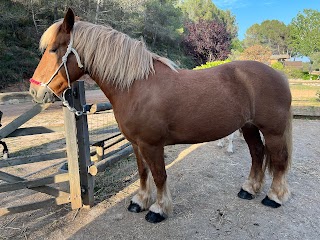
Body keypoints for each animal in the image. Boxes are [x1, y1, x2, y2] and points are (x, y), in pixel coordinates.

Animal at [29, 8, 292, 223]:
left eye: (54, 49)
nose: (35, 91)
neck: (136, 86)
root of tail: (278, 74)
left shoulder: (152, 144)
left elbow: (159, 175)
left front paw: (158, 209)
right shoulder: (136, 144)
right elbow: (143, 172)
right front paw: (139, 202)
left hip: (273, 131)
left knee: (278, 161)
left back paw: (274, 197)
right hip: (249, 127)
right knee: (257, 154)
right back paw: (249, 189)